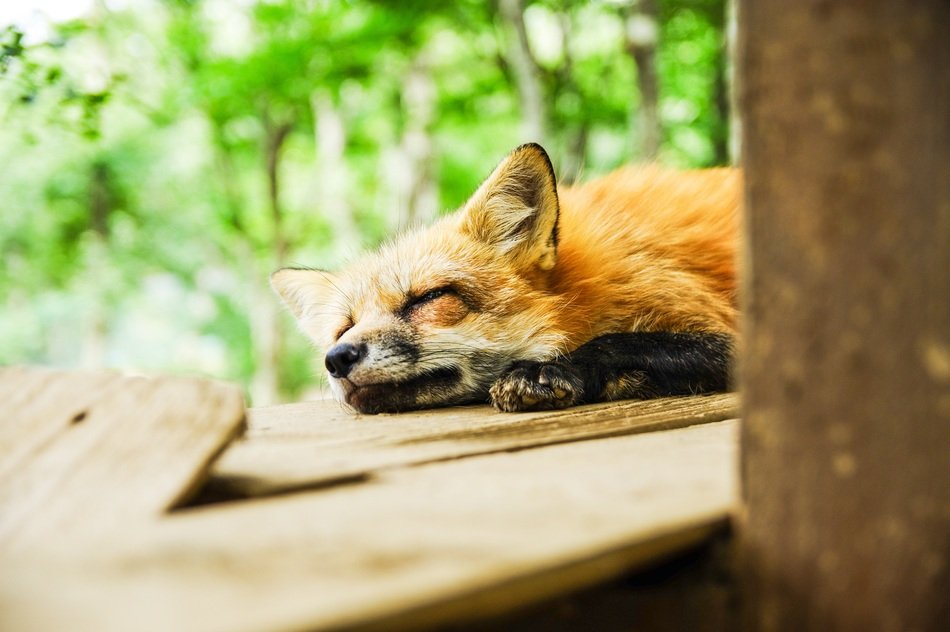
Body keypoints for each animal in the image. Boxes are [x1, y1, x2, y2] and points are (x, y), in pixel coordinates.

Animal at [271, 143, 740, 414]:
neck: (582, 286)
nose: (337, 358)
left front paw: (552, 370)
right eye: (343, 328)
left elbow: (619, 341)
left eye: (429, 298)